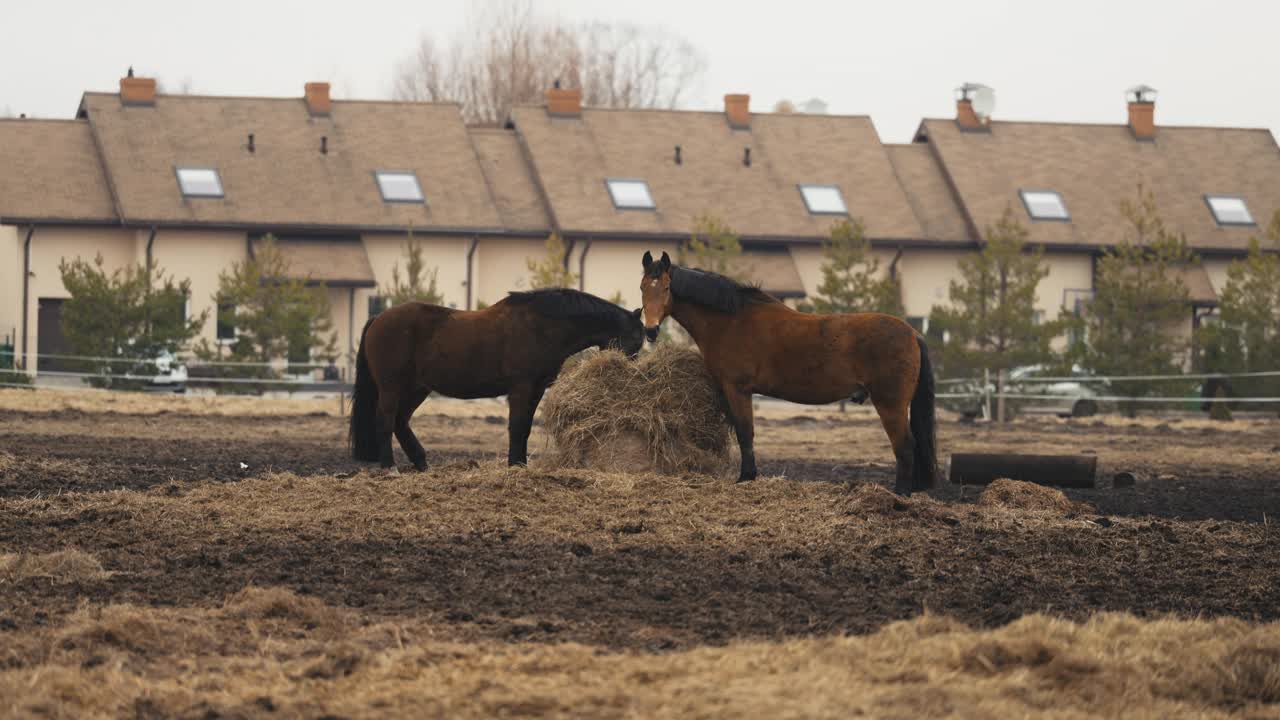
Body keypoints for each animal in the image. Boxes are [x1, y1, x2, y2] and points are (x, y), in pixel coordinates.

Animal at [350, 288, 645, 468]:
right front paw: (515, 464)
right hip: (391, 387)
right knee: (385, 421)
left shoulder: (537, 389)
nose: (629, 371)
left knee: (400, 422)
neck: (542, 325)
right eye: (635, 340)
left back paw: (421, 463)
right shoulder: (521, 388)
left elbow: (525, 428)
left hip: (417, 388)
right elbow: (517, 426)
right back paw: (390, 466)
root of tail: (378, 319)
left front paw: (521, 463)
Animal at [645, 249, 936, 489]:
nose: (650, 330)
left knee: (904, 448)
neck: (731, 320)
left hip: (890, 404)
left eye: (667, 287)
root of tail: (912, 333)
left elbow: (745, 432)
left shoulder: (738, 389)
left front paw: (746, 477)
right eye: (642, 287)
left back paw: (899, 496)